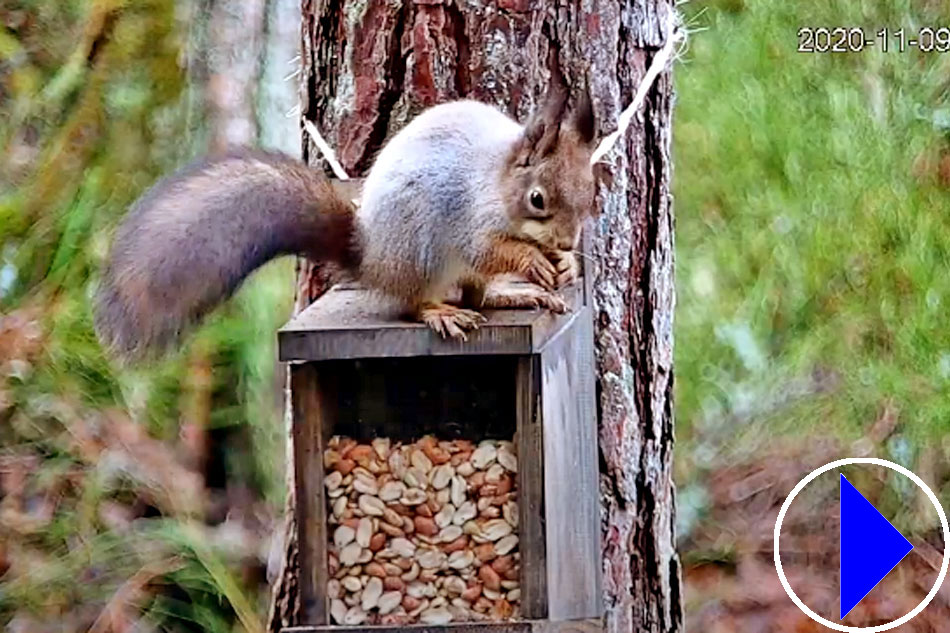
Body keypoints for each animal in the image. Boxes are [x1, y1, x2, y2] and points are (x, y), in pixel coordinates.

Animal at [95, 84, 596, 360]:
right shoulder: (469, 216)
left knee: (479, 293)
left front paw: (565, 265)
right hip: (420, 252)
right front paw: (534, 261)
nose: (567, 240)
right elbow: (491, 249)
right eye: (537, 199)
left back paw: (513, 295)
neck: (496, 179)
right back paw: (440, 311)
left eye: (591, 194)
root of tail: (371, 258)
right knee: (414, 300)